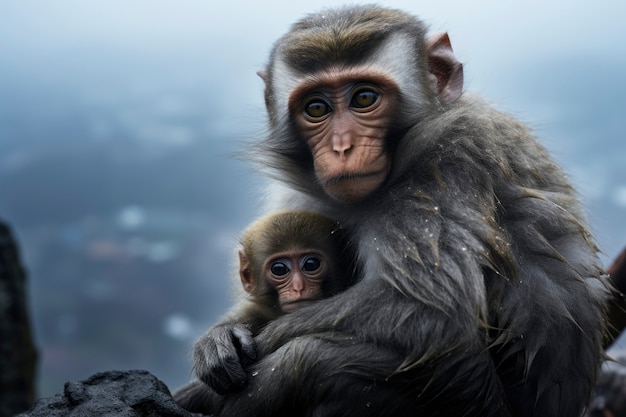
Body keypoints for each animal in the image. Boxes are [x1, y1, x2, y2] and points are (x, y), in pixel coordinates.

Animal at [194, 5, 608, 416]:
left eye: (364, 98)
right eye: (316, 108)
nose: (342, 147)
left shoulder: (445, 167)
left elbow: (434, 311)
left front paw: (255, 346)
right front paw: (220, 337)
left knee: (311, 358)